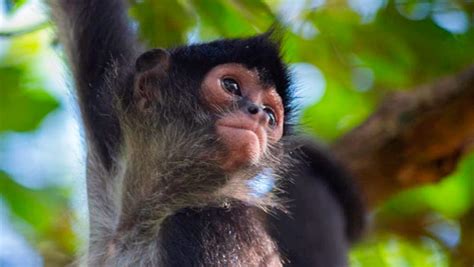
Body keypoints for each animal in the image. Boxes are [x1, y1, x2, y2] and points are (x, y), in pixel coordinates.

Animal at [51, 0, 364, 266]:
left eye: (271, 115)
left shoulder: (210, 224)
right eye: (231, 86)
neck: (142, 216)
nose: (259, 114)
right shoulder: (108, 132)